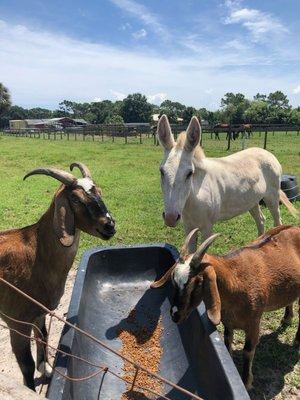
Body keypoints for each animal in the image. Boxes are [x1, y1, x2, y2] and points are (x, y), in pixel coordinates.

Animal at [0, 162, 116, 390]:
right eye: (76, 199)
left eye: (99, 192)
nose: (109, 225)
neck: (36, 254)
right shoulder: (17, 322)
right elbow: (26, 364)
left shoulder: (40, 313)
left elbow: (43, 338)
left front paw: (46, 369)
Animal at [151, 227, 300, 390]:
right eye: (173, 280)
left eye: (198, 282)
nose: (175, 314)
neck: (236, 282)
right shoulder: (228, 321)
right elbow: (228, 340)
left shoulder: (254, 323)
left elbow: (248, 351)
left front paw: (246, 382)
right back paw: (287, 318)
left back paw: (297, 340)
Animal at [157, 114, 298, 252]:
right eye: (161, 171)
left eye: (190, 173)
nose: (170, 218)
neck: (193, 199)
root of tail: (268, 153)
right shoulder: (188, 227)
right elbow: (191, 252)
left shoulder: (207, 227)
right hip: (252, 201)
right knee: (261, 220)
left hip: (272, 197)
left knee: (277, 221)